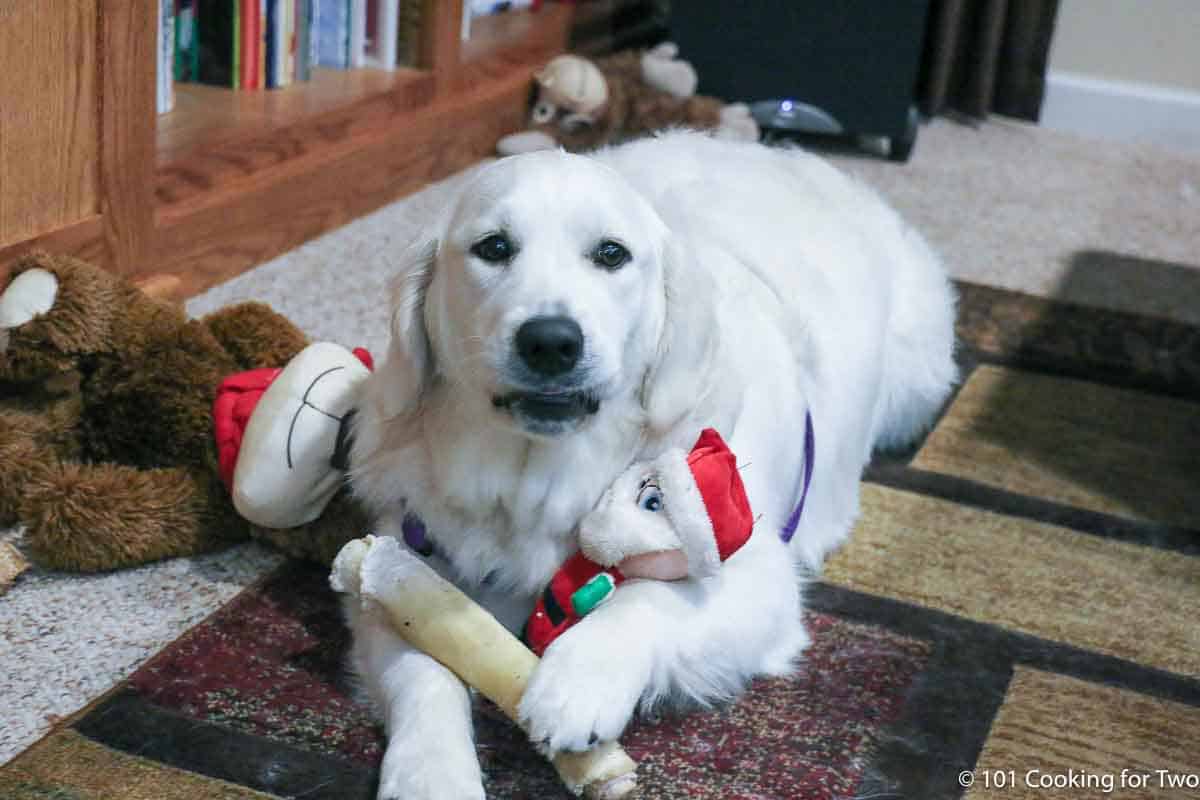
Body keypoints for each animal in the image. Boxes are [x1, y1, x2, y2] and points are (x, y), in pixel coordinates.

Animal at [345, 134, 955, 796]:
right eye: (494, 248)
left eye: (612, 254)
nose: (551, 341)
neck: (541, 480)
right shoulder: (400, 557)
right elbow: (422, 668)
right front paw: (430, 772)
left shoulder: (758, 575)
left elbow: (648, 600)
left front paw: (577, 681)